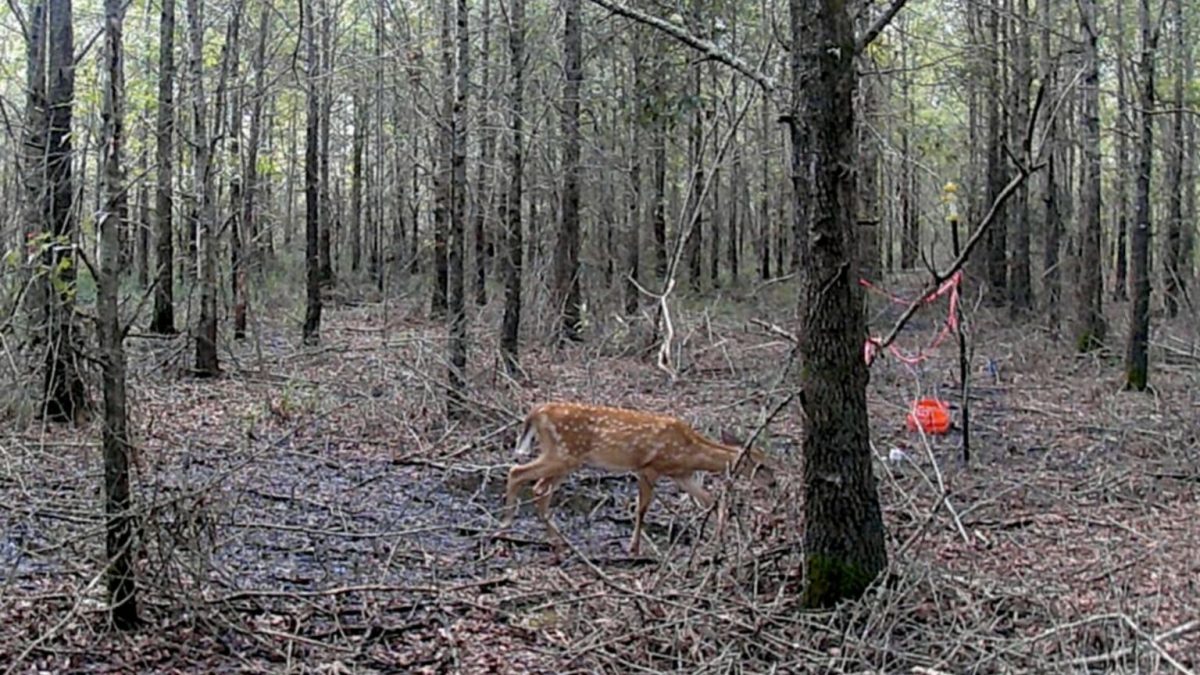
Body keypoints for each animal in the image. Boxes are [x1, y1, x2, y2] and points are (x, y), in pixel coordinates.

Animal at [499, 398, 772, 552]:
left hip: (566, 459)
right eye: (761, 466)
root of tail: (537, 411)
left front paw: (721, 539)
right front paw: (635, 547)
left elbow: (708, 500)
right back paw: (504, 527)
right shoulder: (649, 467)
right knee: (517, 472)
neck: (689, 450)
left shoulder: (682, 475)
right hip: (564, 453)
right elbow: (642, 509)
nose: (773, 483)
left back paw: (556, 540)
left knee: (538, 487)